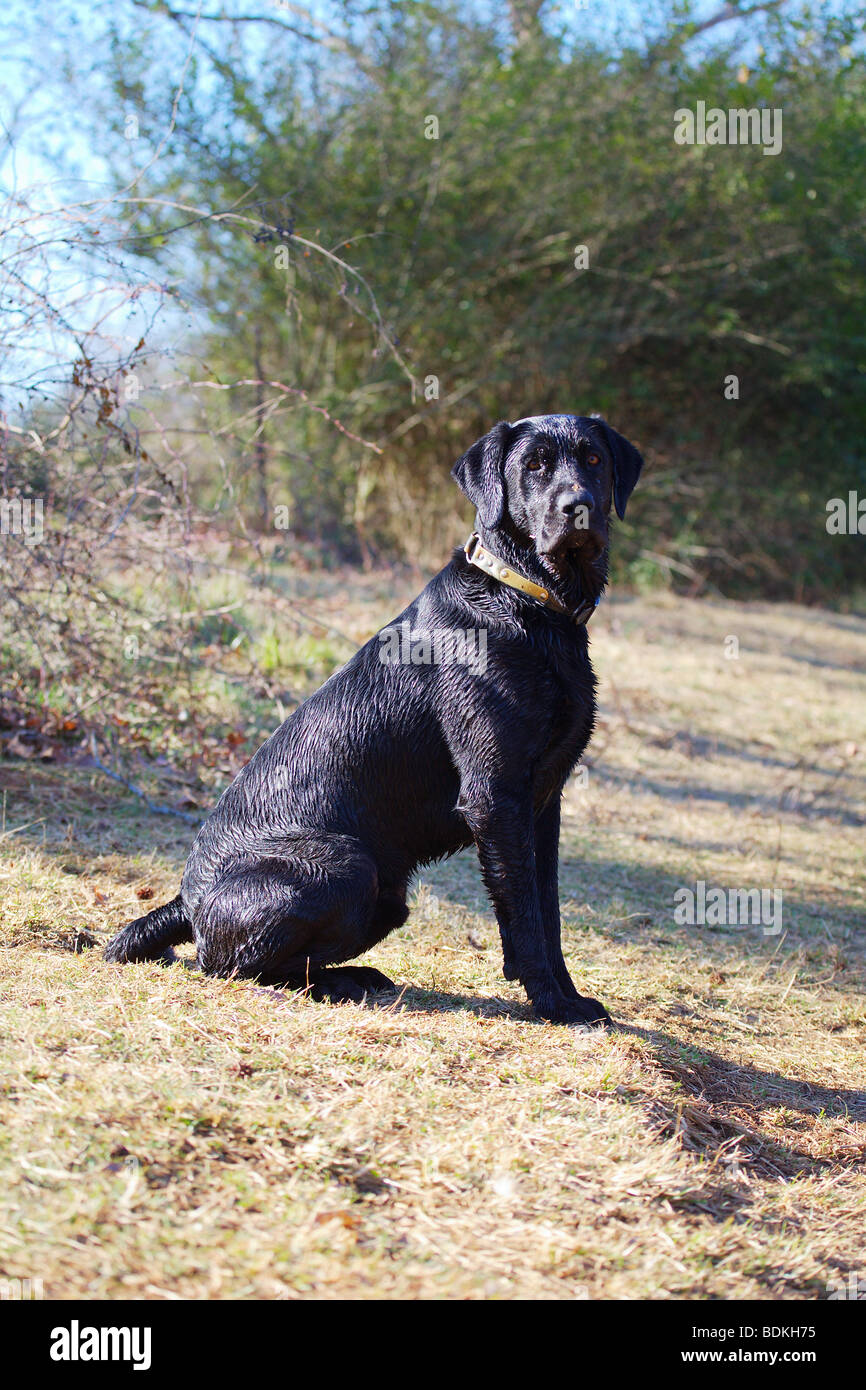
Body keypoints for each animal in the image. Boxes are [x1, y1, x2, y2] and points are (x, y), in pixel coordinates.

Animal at [104, 411, 639, 1023]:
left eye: (593, 459)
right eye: (535, 465)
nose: (578, 507)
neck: (527, 599)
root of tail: (185, 903)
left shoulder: (543, 803)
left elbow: (547, 911)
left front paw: (569, 994)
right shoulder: (495, 795)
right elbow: (524, 917)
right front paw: (551, 1003)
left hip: (386, 895)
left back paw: (357, 976)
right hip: (349, 866)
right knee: (229, 965)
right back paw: (342, 982)